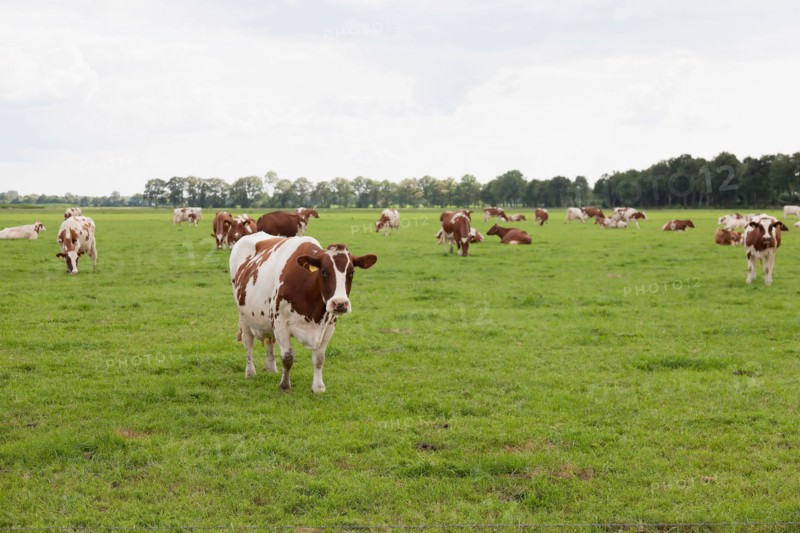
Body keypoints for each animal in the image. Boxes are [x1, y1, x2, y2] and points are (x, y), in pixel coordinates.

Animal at [229, 233, 377, 392]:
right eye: (324, 272)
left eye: (351, 273)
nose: (340, 304)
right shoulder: (280, 322)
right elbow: (287, 357)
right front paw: (285, 386)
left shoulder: (329, 325)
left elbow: (319, 358)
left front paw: (318, 387)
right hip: (244, 316)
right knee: (248, 342)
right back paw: (250, 372)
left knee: (270, 340)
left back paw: (271, 368)